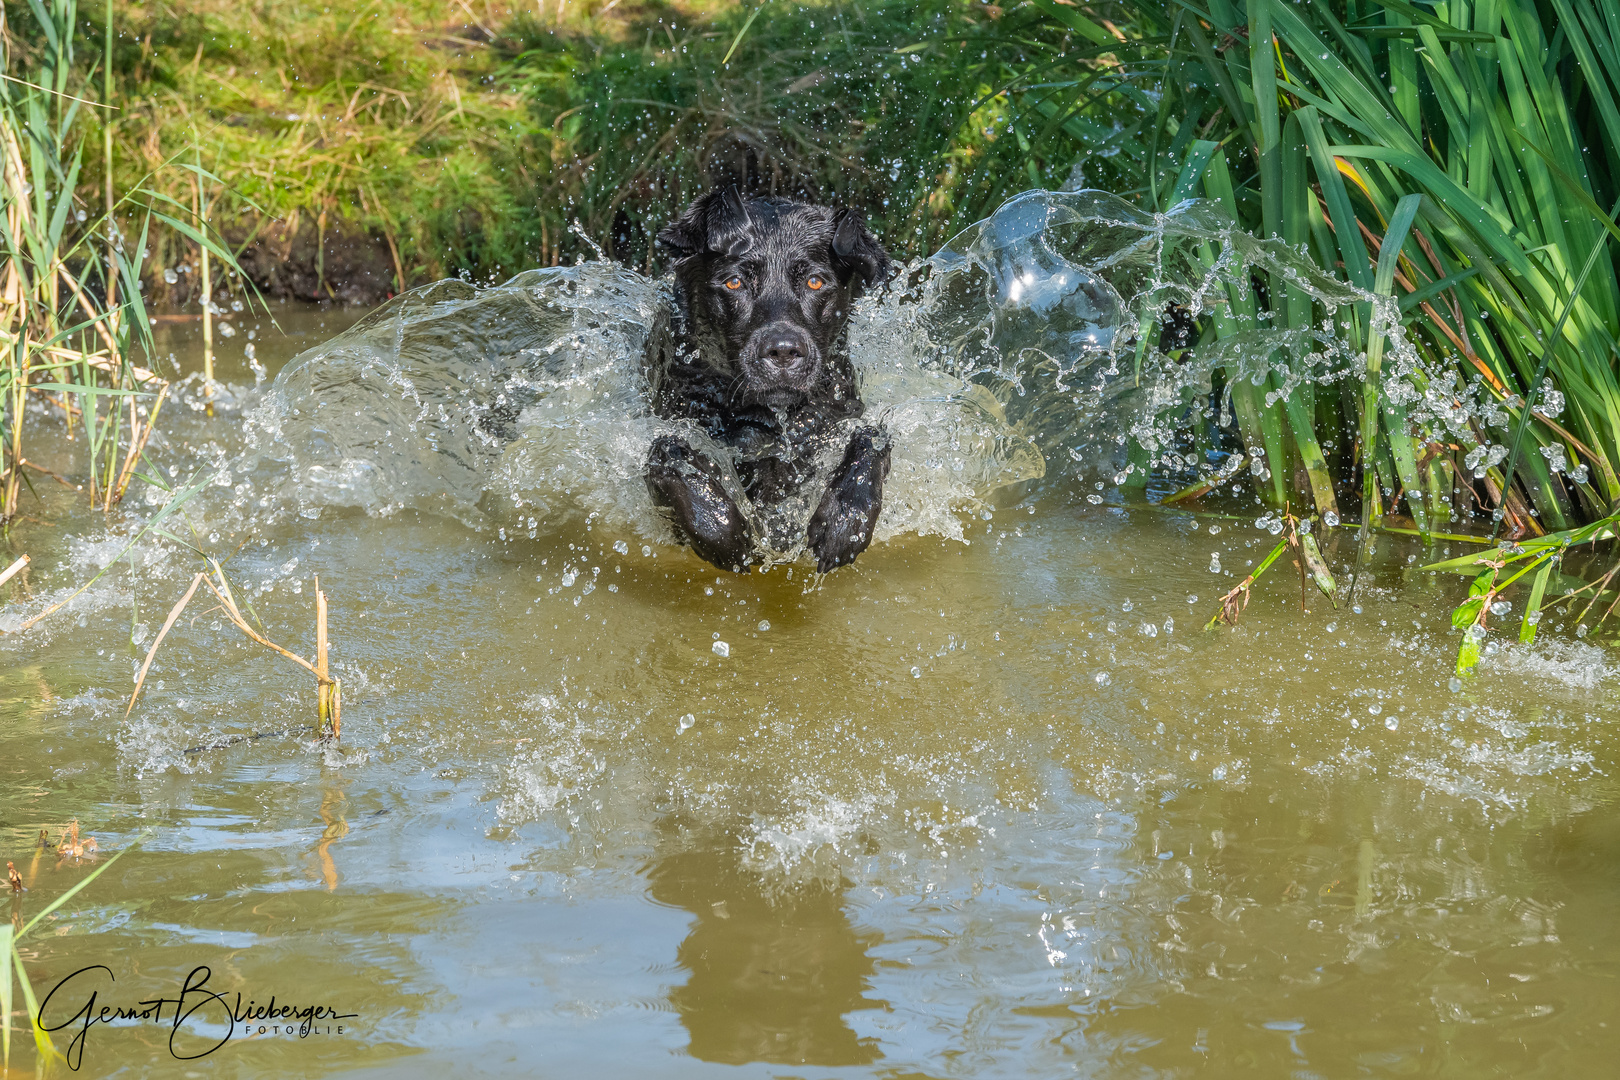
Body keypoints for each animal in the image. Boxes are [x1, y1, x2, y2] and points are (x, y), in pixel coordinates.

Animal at [648, 187, 900, 573]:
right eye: (734, 282)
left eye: (815, 281)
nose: (783, 350)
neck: (770, 421)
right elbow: (668, 455)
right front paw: (728, 532)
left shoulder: (839, 415)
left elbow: (873, 438)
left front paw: (844, 521)